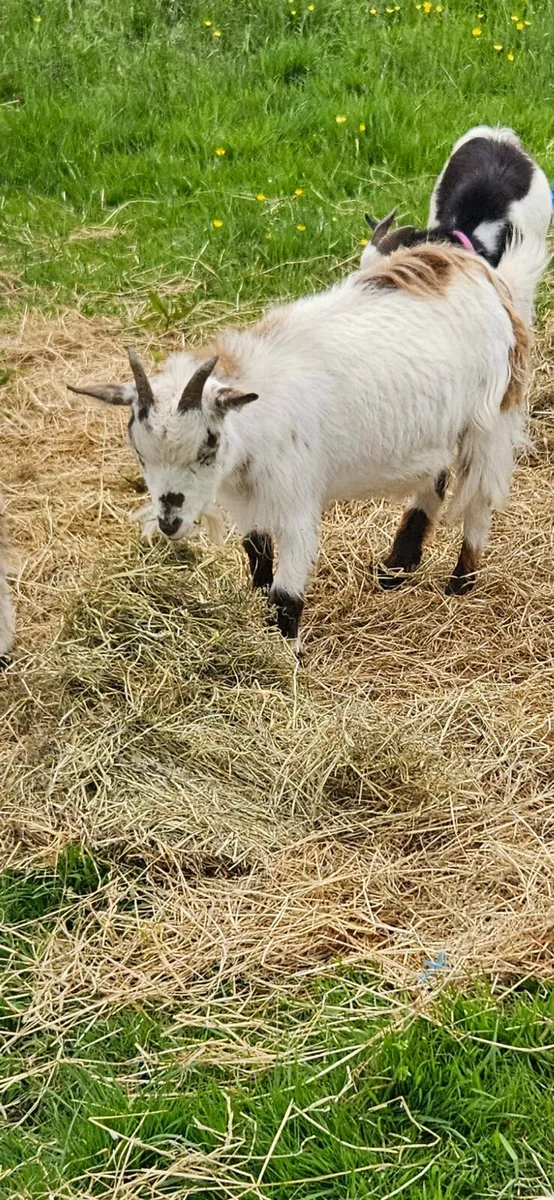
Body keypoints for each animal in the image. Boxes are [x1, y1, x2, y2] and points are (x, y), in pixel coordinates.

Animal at [69, 237, 540, 651]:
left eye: (208, 444)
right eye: (139, 452)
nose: (169, 523)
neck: (257, 414)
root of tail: (483, 275)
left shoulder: (295, 498)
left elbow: (287, 589)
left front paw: (286, 655)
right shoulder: (249, 498)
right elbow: (258, 558)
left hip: (488, 423)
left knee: (479, 498)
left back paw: (460, 582)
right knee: (436, 479)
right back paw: (396, 567)